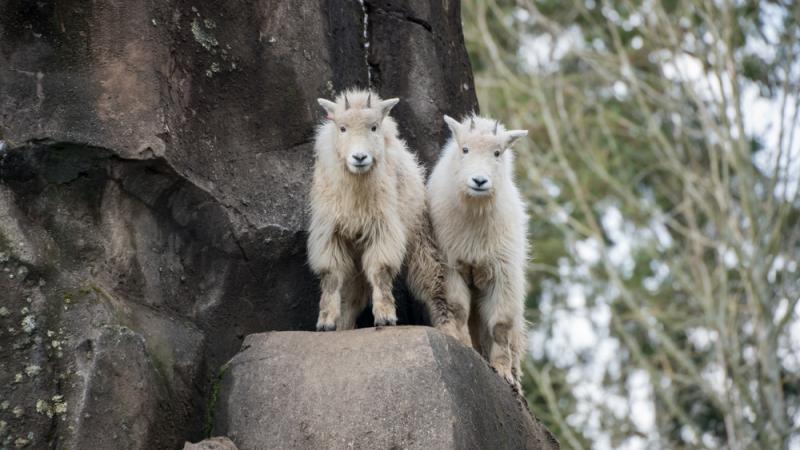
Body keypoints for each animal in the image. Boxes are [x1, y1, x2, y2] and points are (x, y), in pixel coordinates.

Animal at [308, 87, 460, 334]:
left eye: (373, 127)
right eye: (342, 128)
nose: (359, 157)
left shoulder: (383, 228)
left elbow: (380, 271)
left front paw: (386, 317)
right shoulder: (330, 231)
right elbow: (331, 276)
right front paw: (326, 322)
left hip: (420, 236)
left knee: (432, 284)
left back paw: (449, 330)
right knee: (354, 294)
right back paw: (343, 327)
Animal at [428, 113, 528, 390]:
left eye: (497, 152)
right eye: (465, 149)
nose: (479, 181)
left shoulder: (503, 272)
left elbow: (500, 325)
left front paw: (502, 371)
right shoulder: (451, 263)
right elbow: (459, 309)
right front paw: (464, 346)